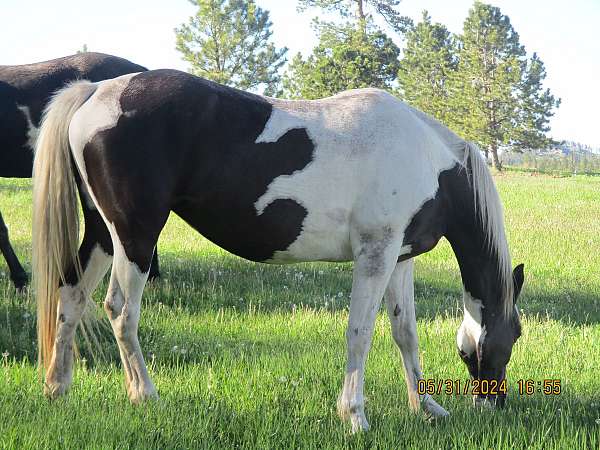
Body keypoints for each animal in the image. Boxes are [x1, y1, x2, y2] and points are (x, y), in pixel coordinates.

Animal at [32, 70, 524, 432]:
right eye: (516, 335)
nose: (496, 403)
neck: (426, 158)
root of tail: (96, 91)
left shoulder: (398, 259)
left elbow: (405, 333)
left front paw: (427, 408)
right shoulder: (375, 255)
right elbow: (360, 332)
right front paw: (355, 416)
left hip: (102, 233)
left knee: (71, 294)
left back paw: (57, 388)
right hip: (135, 237)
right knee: (120, 310)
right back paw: (144, 395)